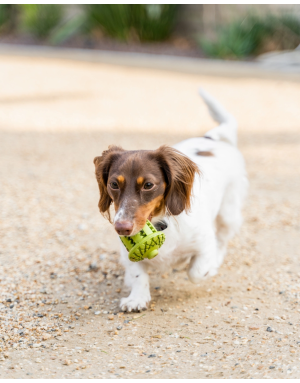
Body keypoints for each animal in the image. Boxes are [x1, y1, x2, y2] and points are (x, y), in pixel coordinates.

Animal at [94, 89, 248, 312]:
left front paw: (207, 268)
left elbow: (196, 272)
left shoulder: (204, 243)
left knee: (223, 239)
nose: (122, 228)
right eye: (114, 184)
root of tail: (211, 138)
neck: (161, 222)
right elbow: (137, 273)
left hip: (229, 212)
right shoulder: (127, 253)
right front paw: (136, 297)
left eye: (148, 185)